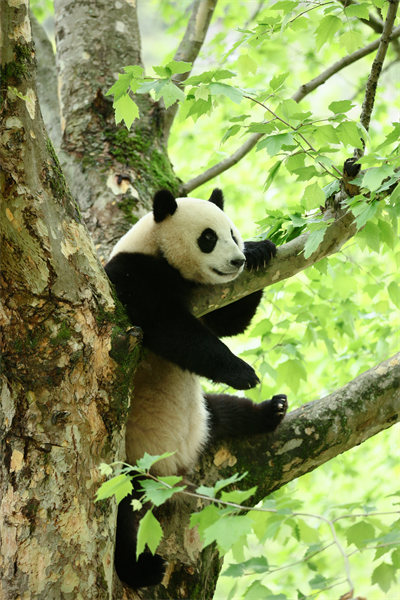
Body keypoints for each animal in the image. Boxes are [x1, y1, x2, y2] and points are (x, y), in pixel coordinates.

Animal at [104, 190, 288, 588]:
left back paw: (271, 410)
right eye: (208, 238)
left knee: (223, 411)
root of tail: (176, 467)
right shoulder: (131, 277)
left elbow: (230, 322)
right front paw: (242, 372)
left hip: (202, 416)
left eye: (233, 233)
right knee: (122, 513)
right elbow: (172, 330)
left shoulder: (206, 296)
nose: (236, 261)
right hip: (129, 460)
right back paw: (141, 570)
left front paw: (260, 250)